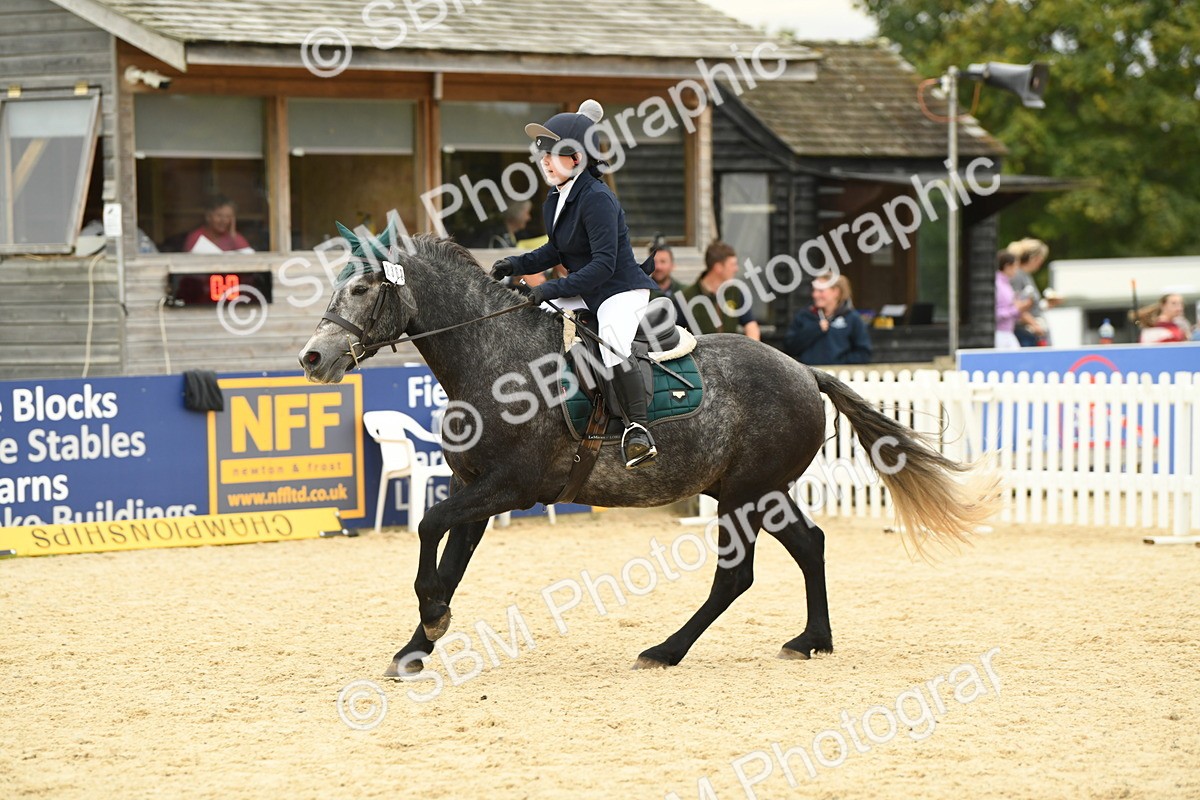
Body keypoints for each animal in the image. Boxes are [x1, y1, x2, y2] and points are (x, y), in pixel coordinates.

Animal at [299, 233, 1000, 675]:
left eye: (362, 291)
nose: (311, 357)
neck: (492, 361)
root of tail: (803, 370)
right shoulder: (474, 487)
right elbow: (447, 563)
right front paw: (417, 648)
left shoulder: (507, 489)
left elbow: (427, 531)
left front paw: (432, 623)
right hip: (759, 493)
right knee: (810, 546)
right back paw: (811, 641)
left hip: (745, 497)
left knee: (736, 577)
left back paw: (666, 651)